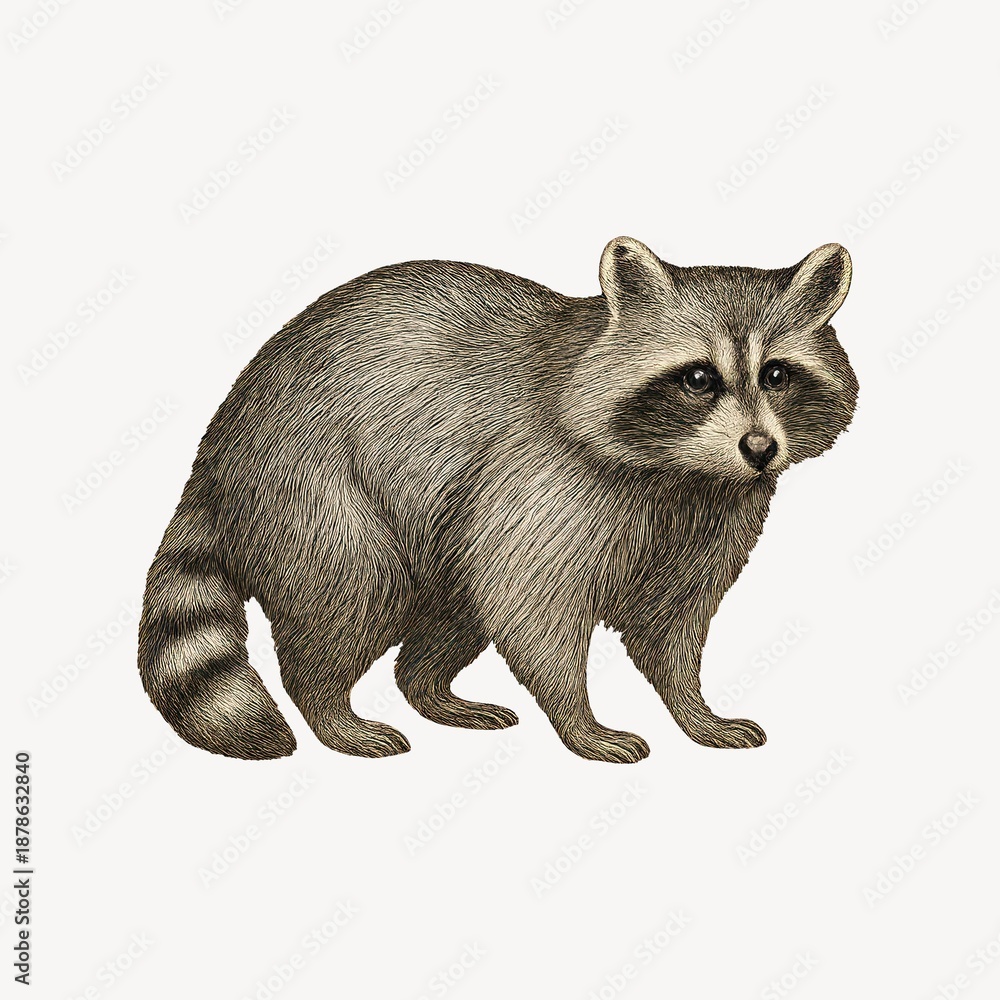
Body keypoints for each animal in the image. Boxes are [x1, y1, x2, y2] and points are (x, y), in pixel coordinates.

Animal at [138, 237, 857, 763]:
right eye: (700, 378)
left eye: (777, 373)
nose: (760, 448)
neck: (683, 472)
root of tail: (222, 439)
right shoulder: (540, 482)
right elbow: (532, 608)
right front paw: (580, 718)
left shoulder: (710, 517)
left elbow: (670, 624)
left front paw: (694, 709)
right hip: (316, 495)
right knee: (352, 596)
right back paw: (328, 706)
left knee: (452, 609)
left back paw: (429, 687)